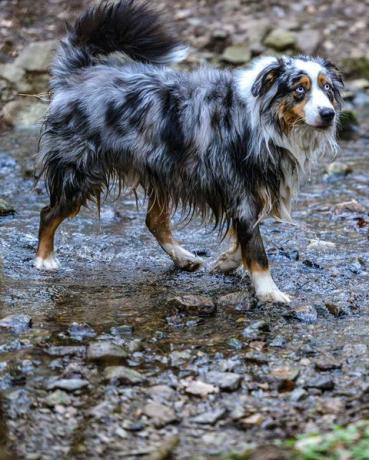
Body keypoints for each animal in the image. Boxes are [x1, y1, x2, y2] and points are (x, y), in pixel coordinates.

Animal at [34, 0, 342, 304]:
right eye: (299, 89)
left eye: (327, 87)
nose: (329, 114)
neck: (264, 119)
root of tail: (78, 74)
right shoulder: (242, 190)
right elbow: (256, 249)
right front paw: (270, 292)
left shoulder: (252, 190)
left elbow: (243, 237)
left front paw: (228, 262)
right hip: (80, 172)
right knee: (48, 213)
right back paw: (44, 260)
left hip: (163, 171)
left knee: (154, 221)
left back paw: (183, 258)